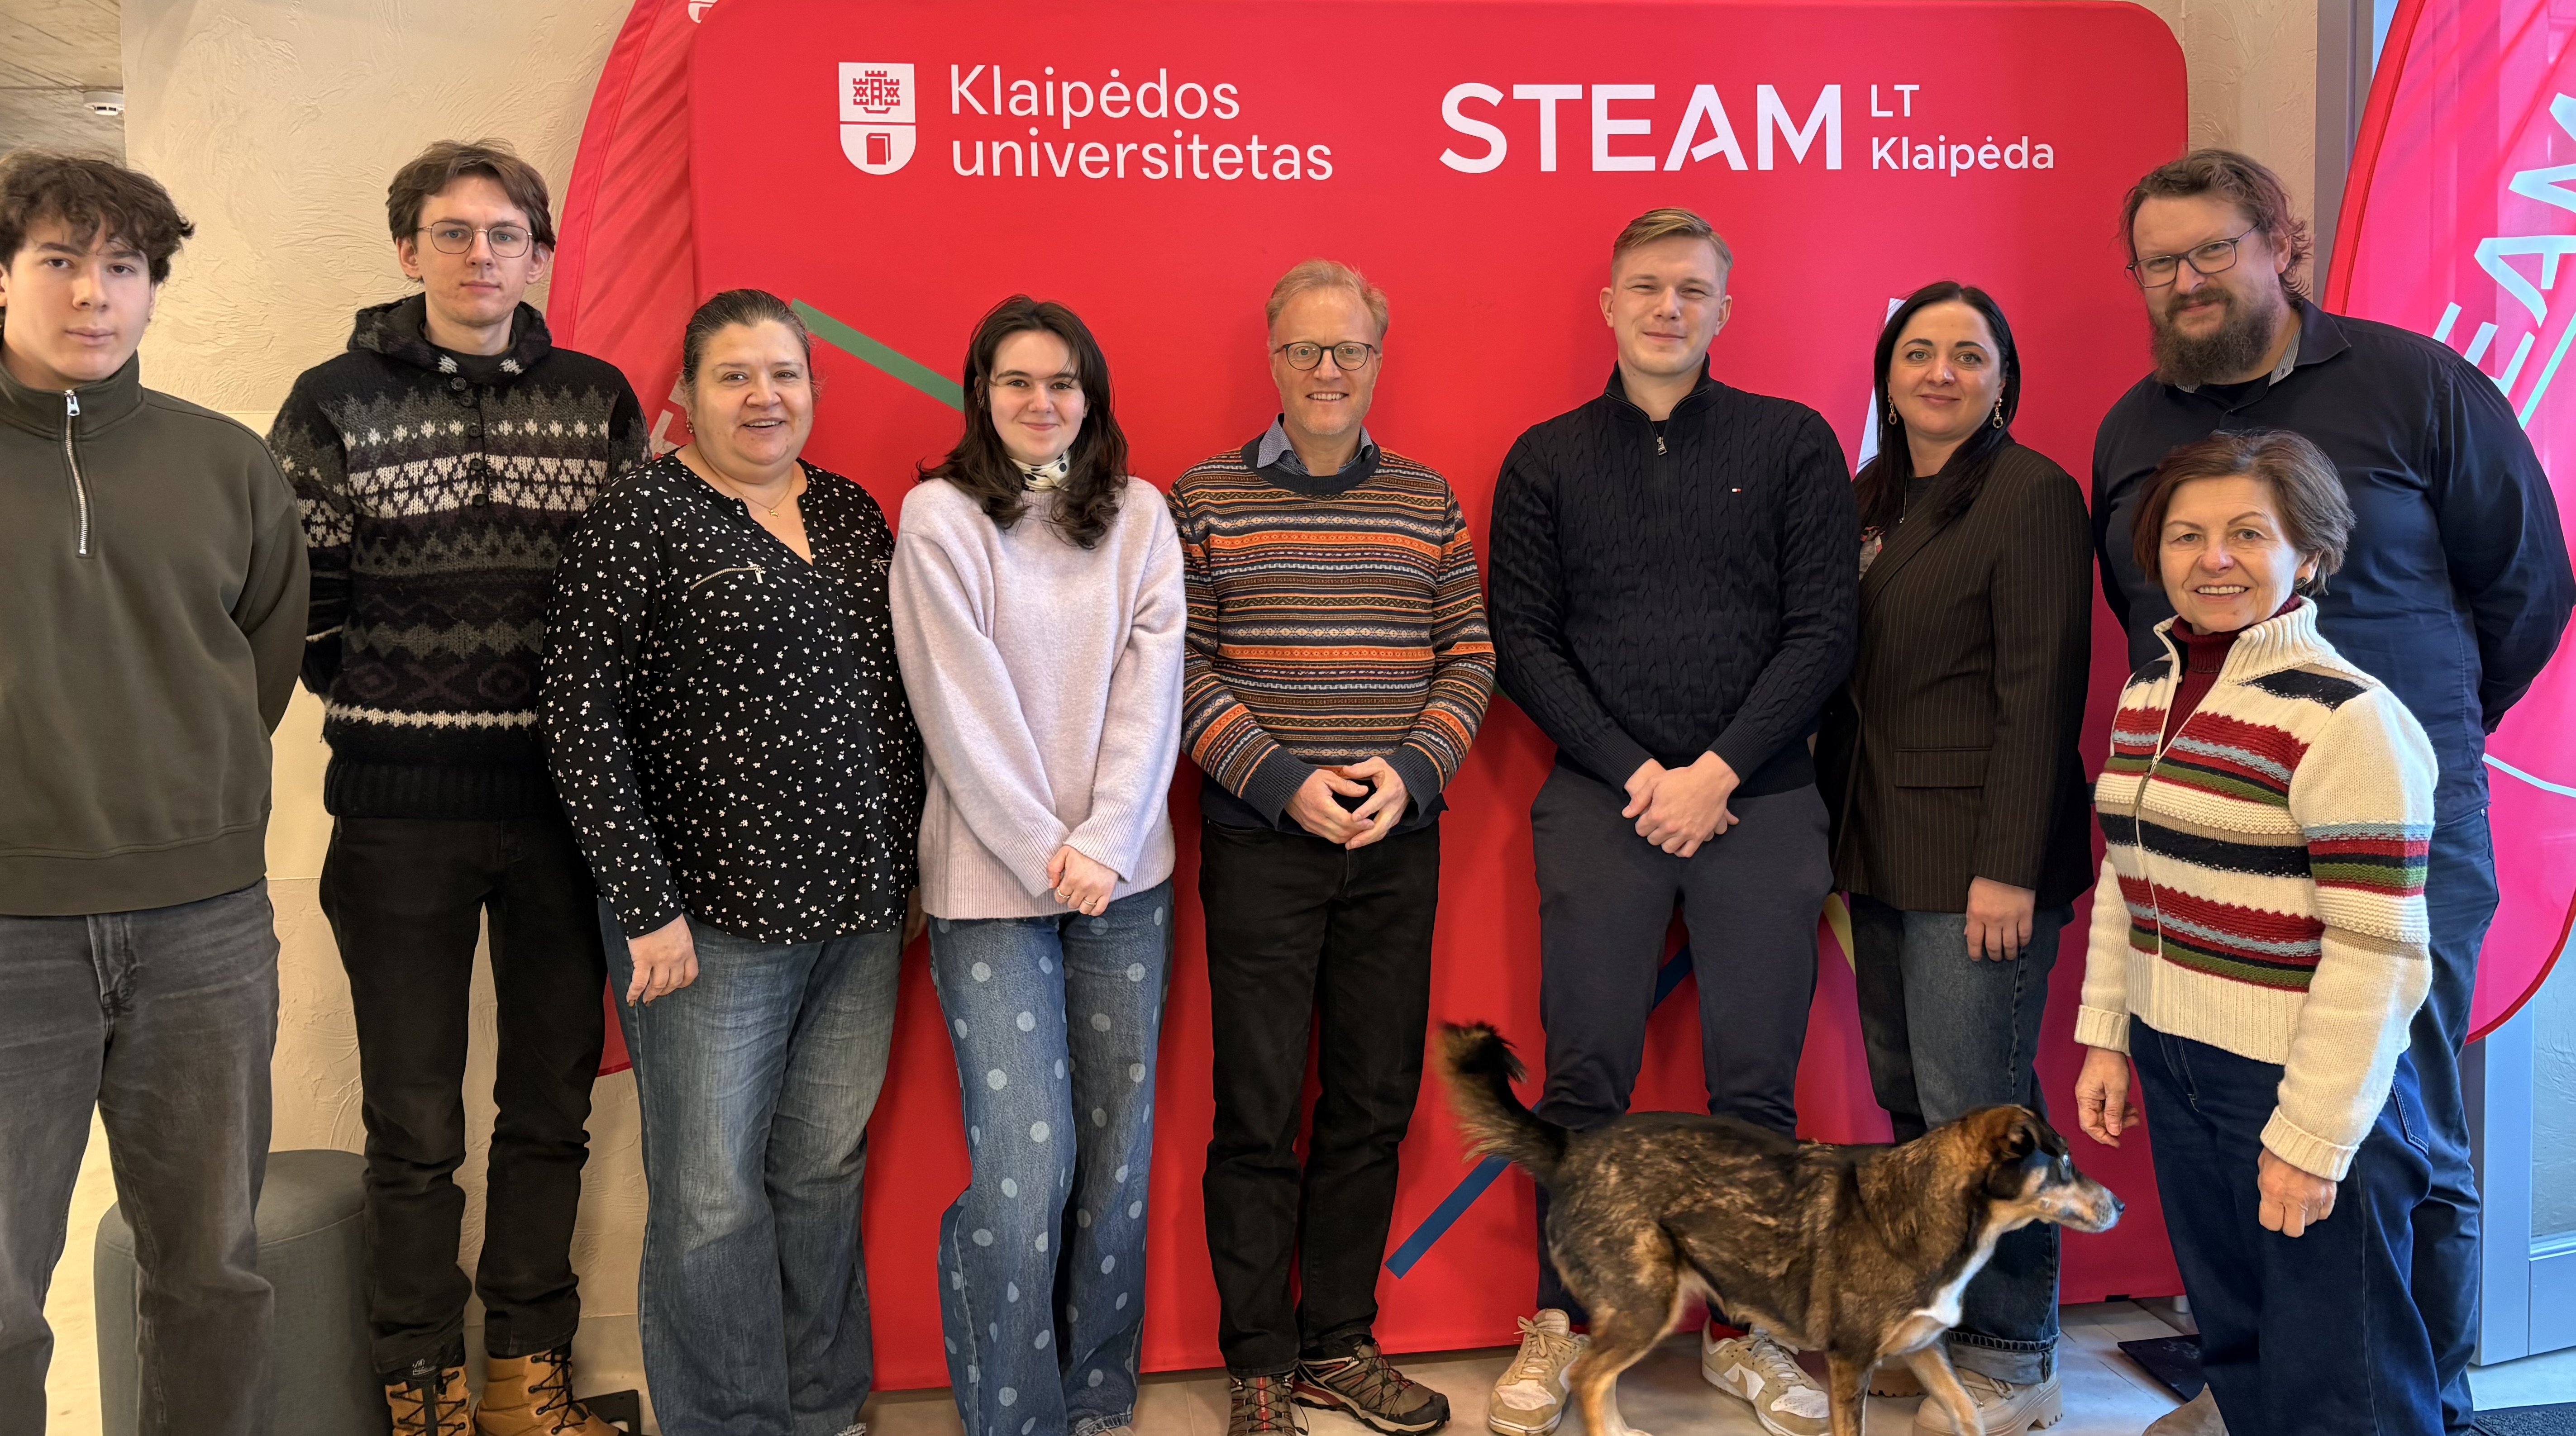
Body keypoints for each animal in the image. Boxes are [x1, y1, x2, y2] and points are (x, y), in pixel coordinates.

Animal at [1438, 1022, 2121, 1436]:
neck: (1931, 1208)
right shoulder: (1850, 1362)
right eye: (2063, 1164)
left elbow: (1967, 1414)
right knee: (1586, 1376)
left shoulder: (1924, 1348)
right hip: (1647, 1301)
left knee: (1598, 1378)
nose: (2119, 1204)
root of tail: (1572, 1149)